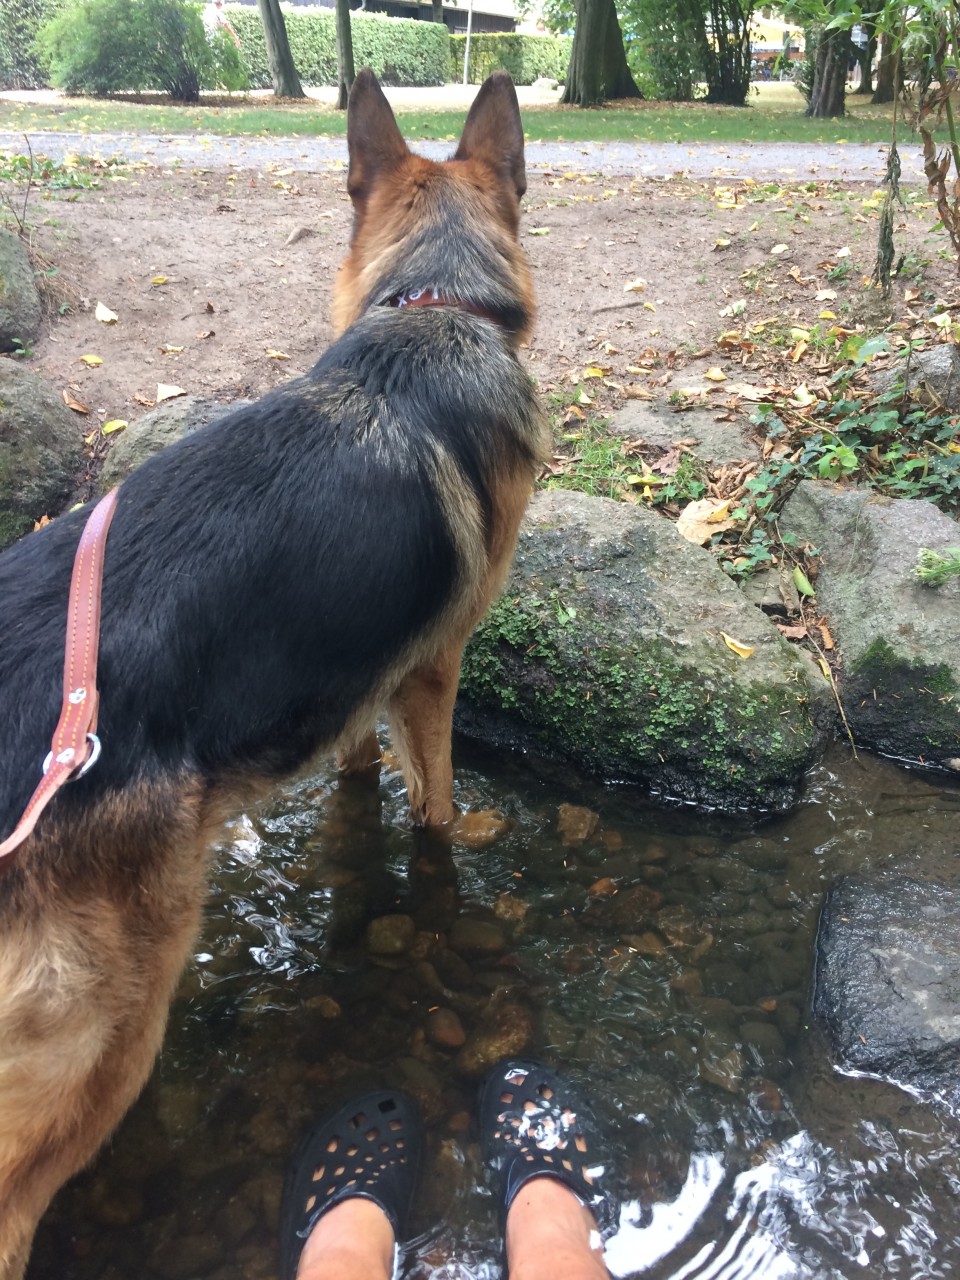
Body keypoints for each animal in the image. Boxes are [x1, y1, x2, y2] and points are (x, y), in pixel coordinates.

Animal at [0, 69, 546, 1278]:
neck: (432, 303)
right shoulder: (430, 672)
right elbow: (436, 804)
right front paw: (462, 836)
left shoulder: (348, 687)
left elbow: (357, 777)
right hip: (107, 1030)